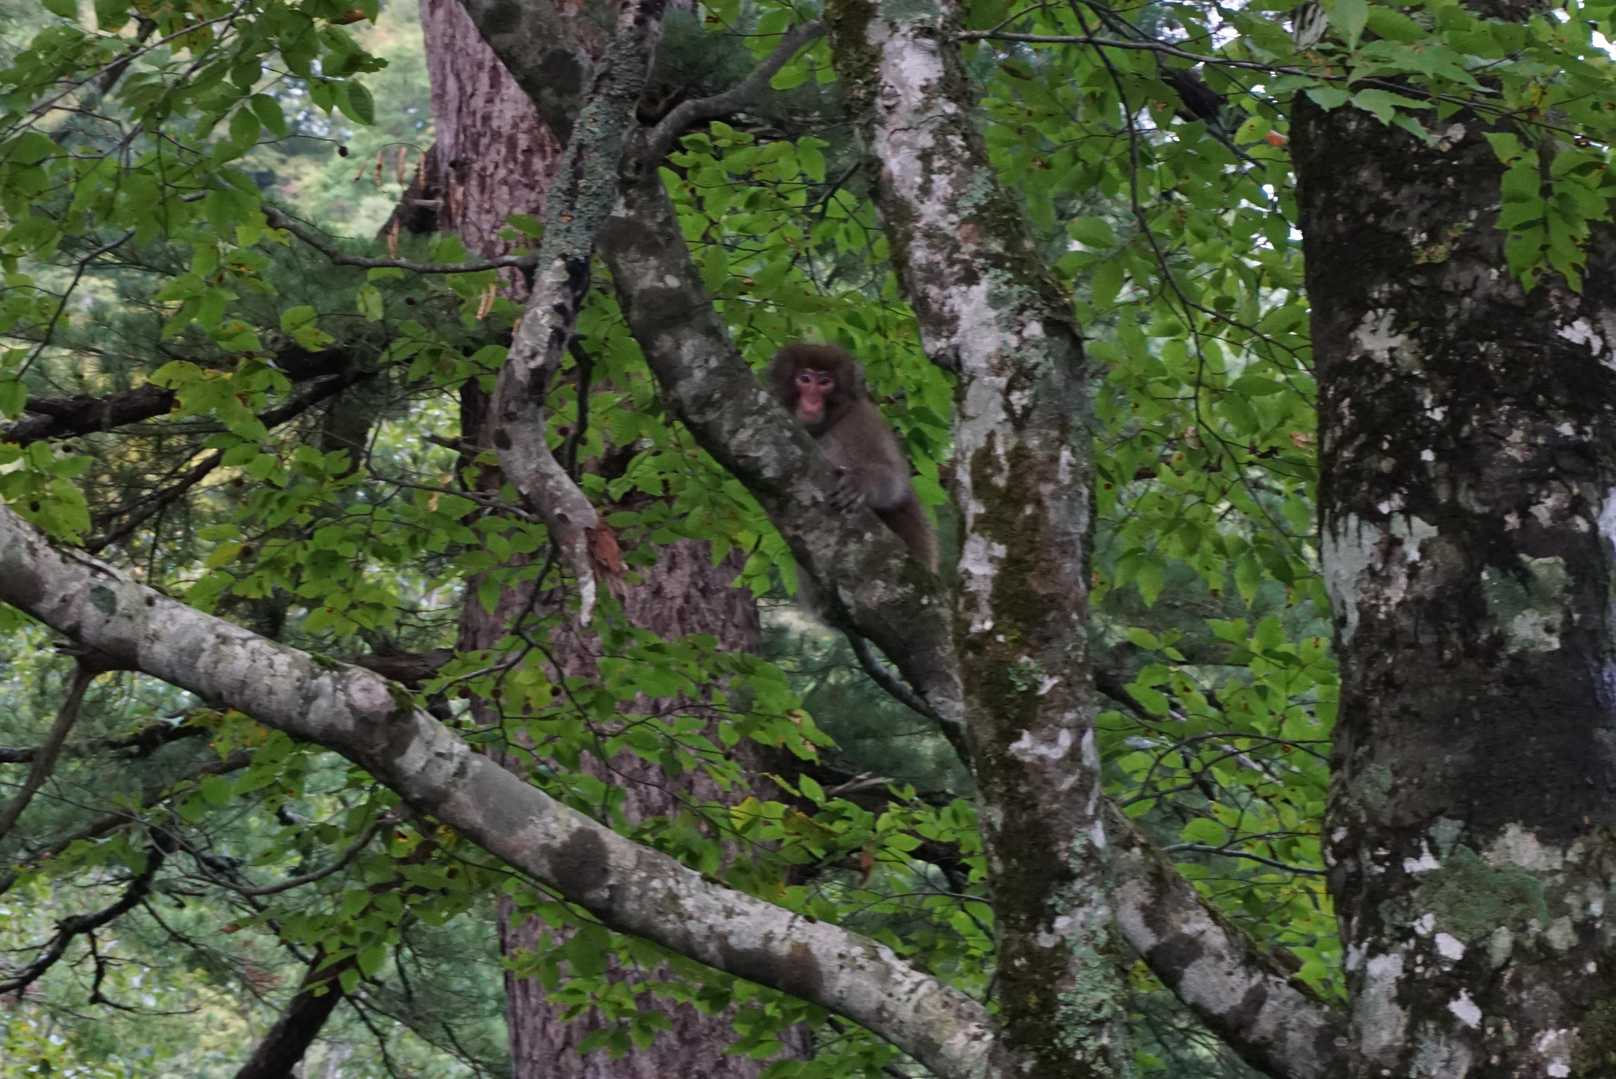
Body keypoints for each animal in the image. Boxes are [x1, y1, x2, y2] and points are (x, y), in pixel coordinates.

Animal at [767, 343, 938, 571]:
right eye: (804, 379)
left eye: (825, 382)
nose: (811, 401)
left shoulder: (861, 420)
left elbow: (894, 479)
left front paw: (861, 482)